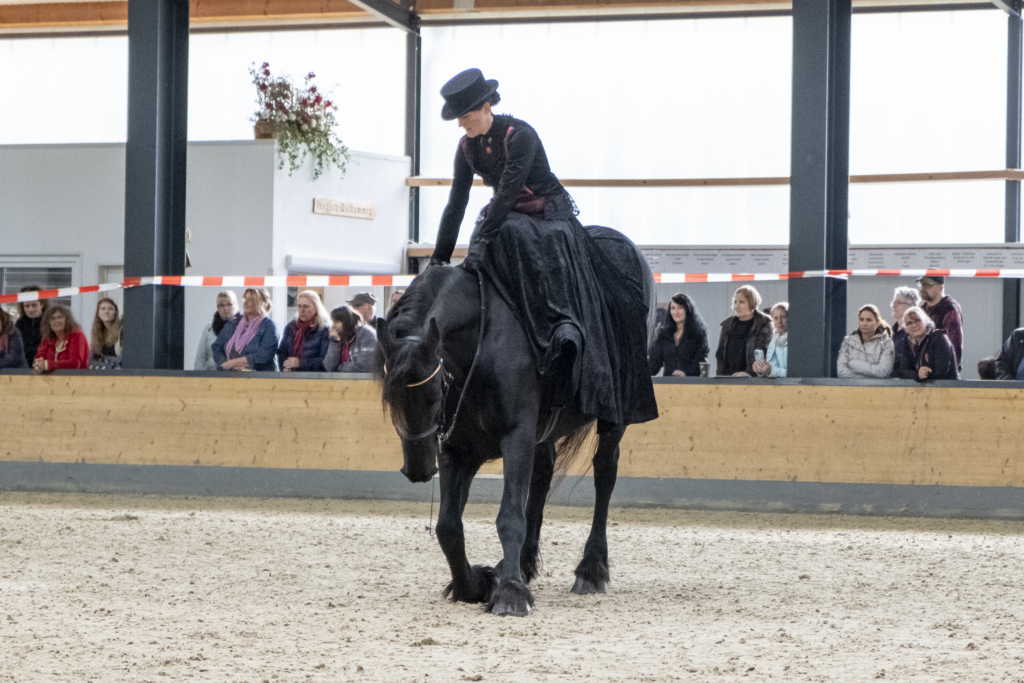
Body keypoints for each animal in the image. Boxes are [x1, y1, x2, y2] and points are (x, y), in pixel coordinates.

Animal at [376, 227, 655, 618]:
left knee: (604, 472)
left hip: (613, 417)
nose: (417, 468)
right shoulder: (457, 449)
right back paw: (523, 564)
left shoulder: (516, 438)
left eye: (434, 395)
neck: (478, 346)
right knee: (542, 476)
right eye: (391, 400)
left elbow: (509, 517)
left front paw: (509, 592)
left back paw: (590, 569)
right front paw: (475, 584)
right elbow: (449, 526)